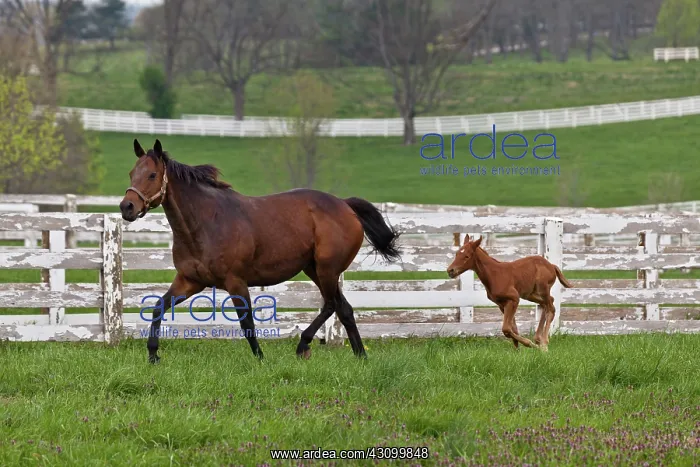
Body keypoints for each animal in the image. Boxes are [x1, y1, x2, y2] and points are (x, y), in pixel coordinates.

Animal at [119, 139, 401, 363]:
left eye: (152, 175)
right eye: (131, 173)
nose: (126, 207)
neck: (205, 223)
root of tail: (345, 205)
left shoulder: (235, 281)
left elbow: (247, 323)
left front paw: (260, 358)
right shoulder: (189, 281)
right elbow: (158, 307)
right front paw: (153, 355)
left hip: (327, 269)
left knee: (332, 304)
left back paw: (305, 345)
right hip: (314, 269)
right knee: (344, 308)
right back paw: (359, 355)